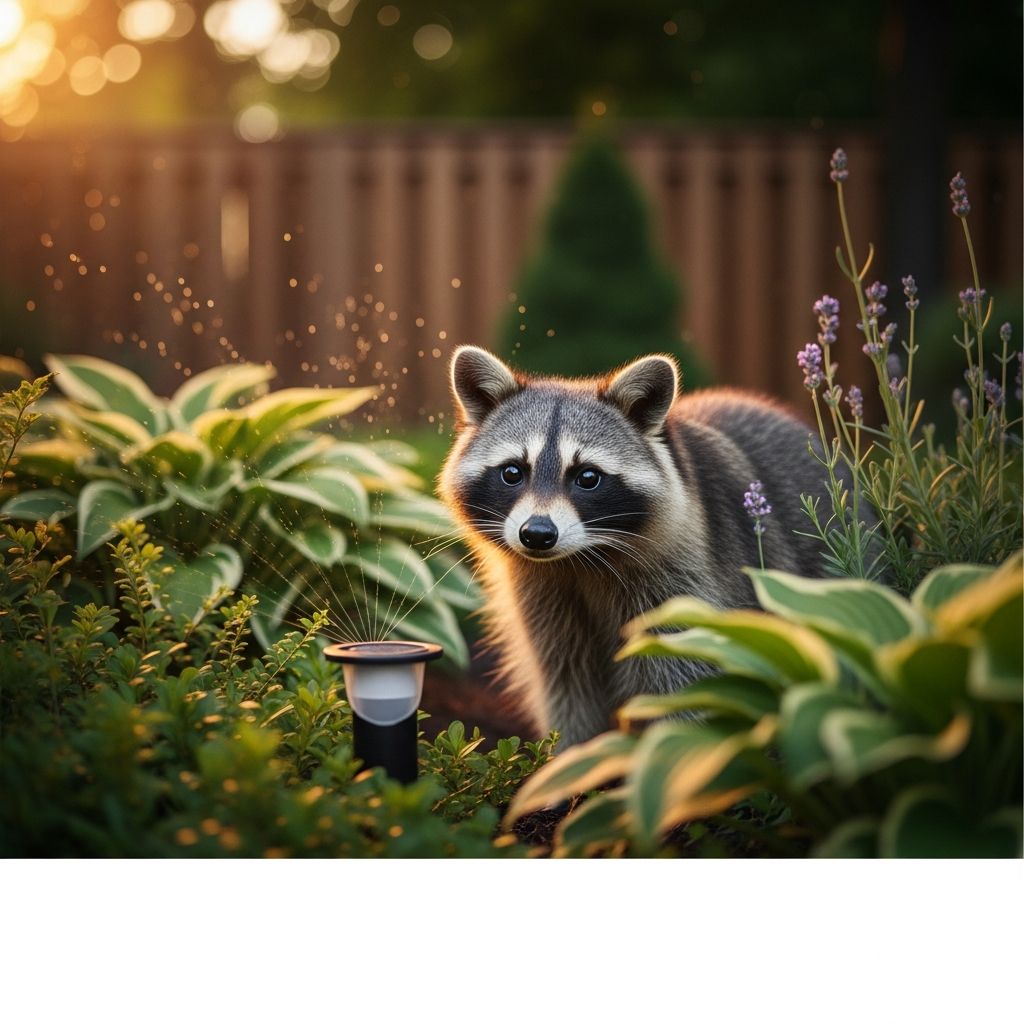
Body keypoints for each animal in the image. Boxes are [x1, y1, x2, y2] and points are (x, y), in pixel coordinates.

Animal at [439, 345, 835, 747]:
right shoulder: (545, 601)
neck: (578, 560)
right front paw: (573, 754)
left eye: (587, 477)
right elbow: (567, 685)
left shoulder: (687, 590)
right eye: (512, 472)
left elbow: (683, 686)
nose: (536, 533)